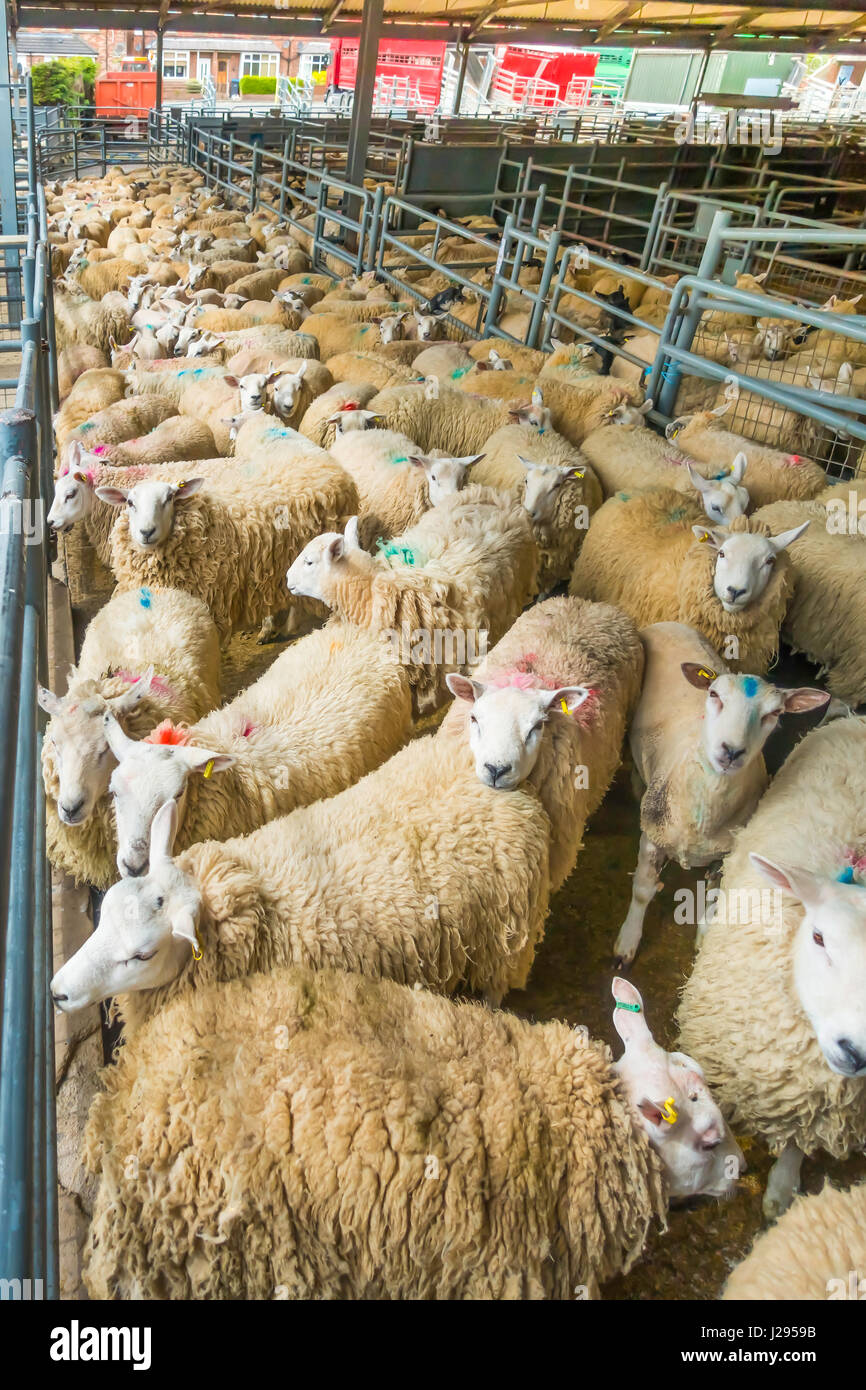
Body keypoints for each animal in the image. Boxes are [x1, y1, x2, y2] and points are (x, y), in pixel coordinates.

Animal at [612, 621, 829, 967]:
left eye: (774, 713)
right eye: (714, 695)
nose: (731, 751)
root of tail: (671, 623)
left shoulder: (724, 855)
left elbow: (713, 900)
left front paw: (704, 939)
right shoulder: (653, 835)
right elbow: (643, 890)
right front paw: (628, 942)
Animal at [678, 715, 866, 1219]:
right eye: (819, 938)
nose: (855, 1050)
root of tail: (856, 717)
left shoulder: (821, 1103)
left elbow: (799, 1141)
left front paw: (782, 1189)